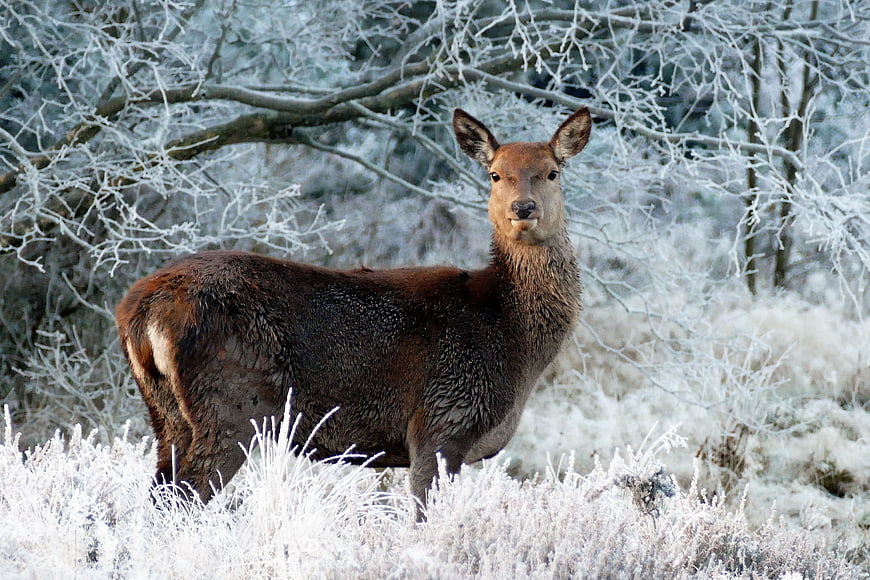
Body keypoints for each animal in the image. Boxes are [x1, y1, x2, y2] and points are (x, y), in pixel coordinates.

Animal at [115, 106, 591, 518]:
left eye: (552, 172)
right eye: (495, 174)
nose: (523, 209)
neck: (510, 335)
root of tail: (139, 311)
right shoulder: (442, 420)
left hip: (166, 415)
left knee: (159, 495)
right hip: (231, 403)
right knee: (183, 498)